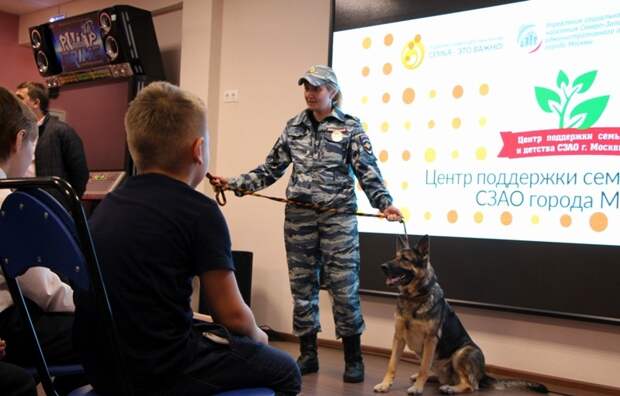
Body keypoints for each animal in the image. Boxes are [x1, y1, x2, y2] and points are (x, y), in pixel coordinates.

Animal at [372, 237, 548, 394]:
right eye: (394, 257)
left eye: (405, 259)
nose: (382, 266)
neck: (414, 298)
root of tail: (483, 374)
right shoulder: (398, 338)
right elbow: (392, 365)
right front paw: (385, 384)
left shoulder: (430, 340)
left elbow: (423, 368)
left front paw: (417, 388)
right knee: (443, 375)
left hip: (462, 353)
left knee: (471, 385)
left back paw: (449, 388)